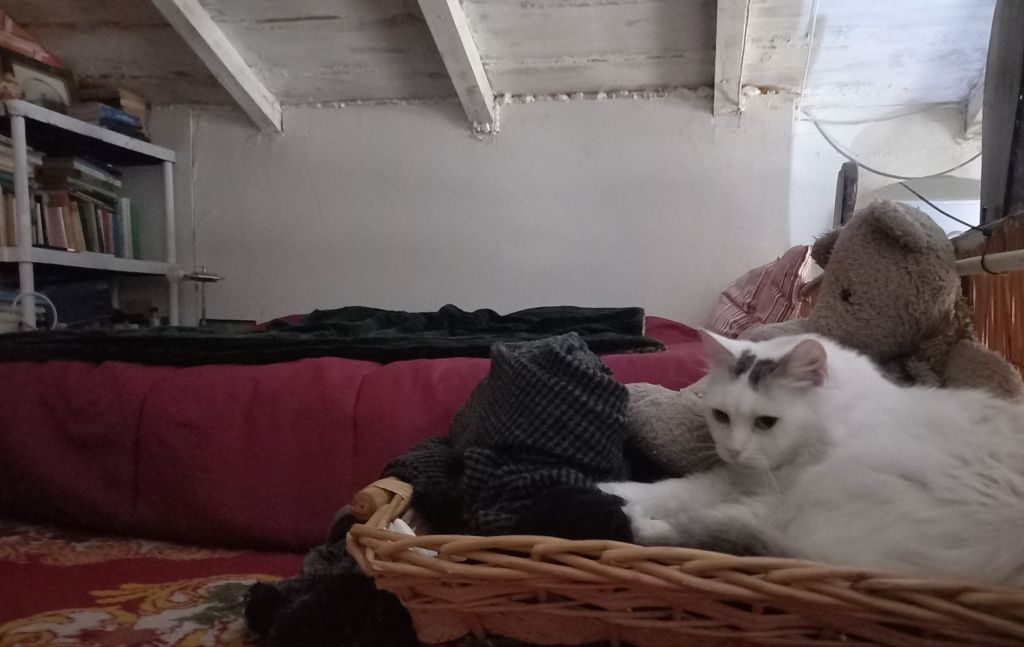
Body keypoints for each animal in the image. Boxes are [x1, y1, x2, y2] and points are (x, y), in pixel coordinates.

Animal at [599, 331, 1024, 586]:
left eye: (766, 422)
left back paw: (641, 525)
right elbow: (665, 489)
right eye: (721, 416)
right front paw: (604, 488)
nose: (733, 450)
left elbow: (695, 512)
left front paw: (630, 511)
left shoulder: (770, 500)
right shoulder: (734, 479)